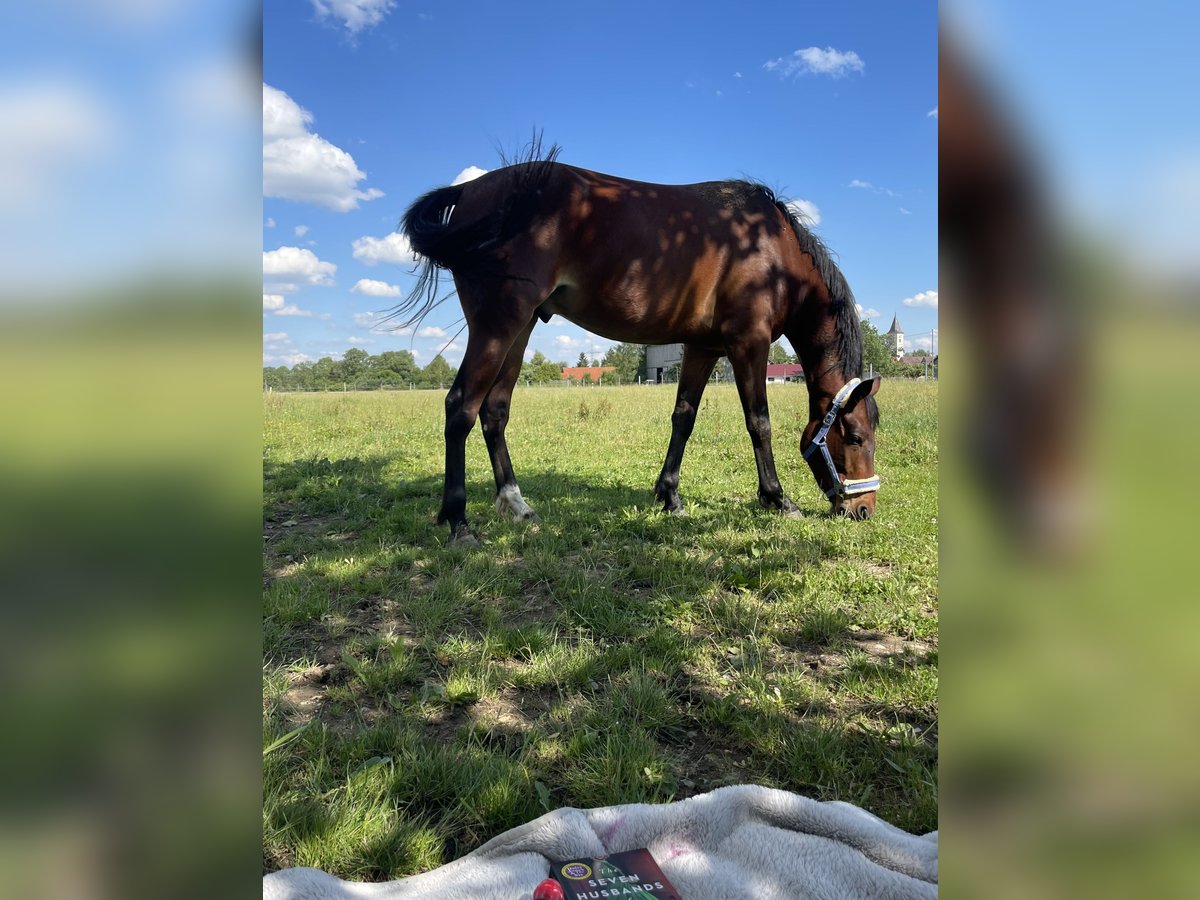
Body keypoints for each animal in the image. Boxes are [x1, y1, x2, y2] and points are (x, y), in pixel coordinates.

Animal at [398, 147, 878, 542]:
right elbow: (759, 422)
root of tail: (470, 188)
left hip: (521, 329)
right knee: (461, 406)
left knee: (494, 410)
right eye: (855, 436)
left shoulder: (703, 348)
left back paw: (516, 504)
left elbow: (683, 417)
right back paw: (458, 521)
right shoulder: (749, 344)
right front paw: (778, 498)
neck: (772, 251)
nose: (863, 509)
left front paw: (669, 496)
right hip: (498, 325)